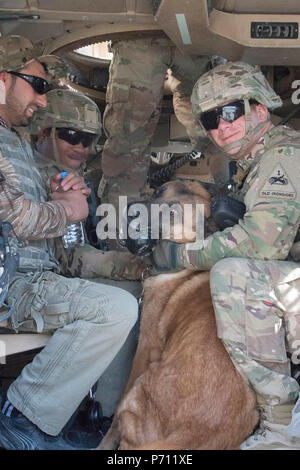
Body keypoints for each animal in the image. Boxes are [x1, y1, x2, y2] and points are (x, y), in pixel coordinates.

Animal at [97, 178, 258, 450]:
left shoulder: (146, 346)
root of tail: (191, 434)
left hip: (138, 391)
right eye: (159, 191)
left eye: (173, 216)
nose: (131, 211)